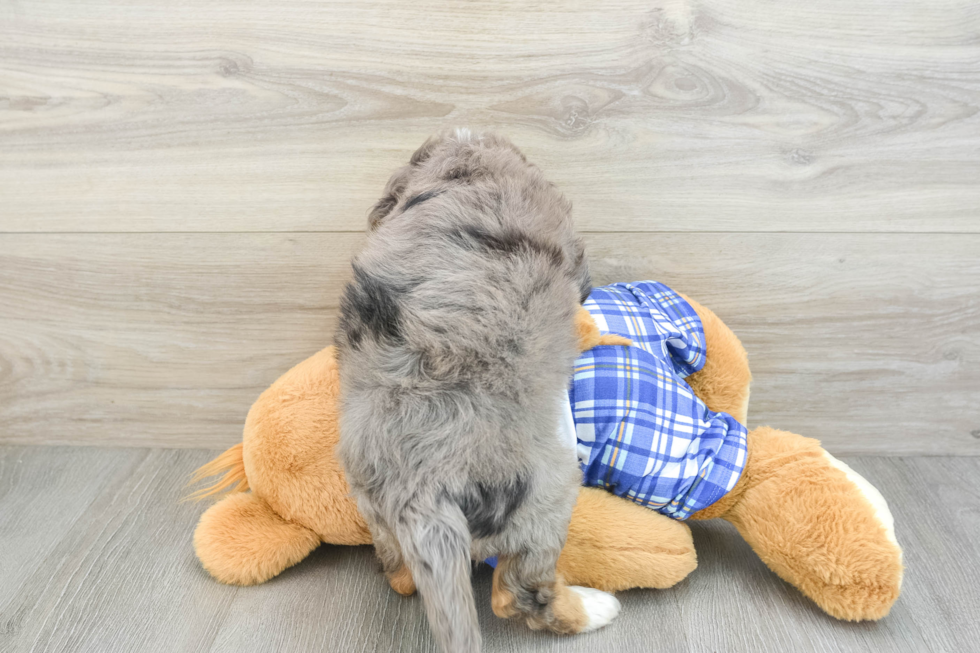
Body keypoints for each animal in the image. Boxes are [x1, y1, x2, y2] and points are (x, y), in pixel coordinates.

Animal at [336, 130, 620, 652]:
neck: (467, 170)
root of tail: (420, 494)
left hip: (369, 502)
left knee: (399, 574)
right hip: (546, 497)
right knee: (518, 594)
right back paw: (594, 608)